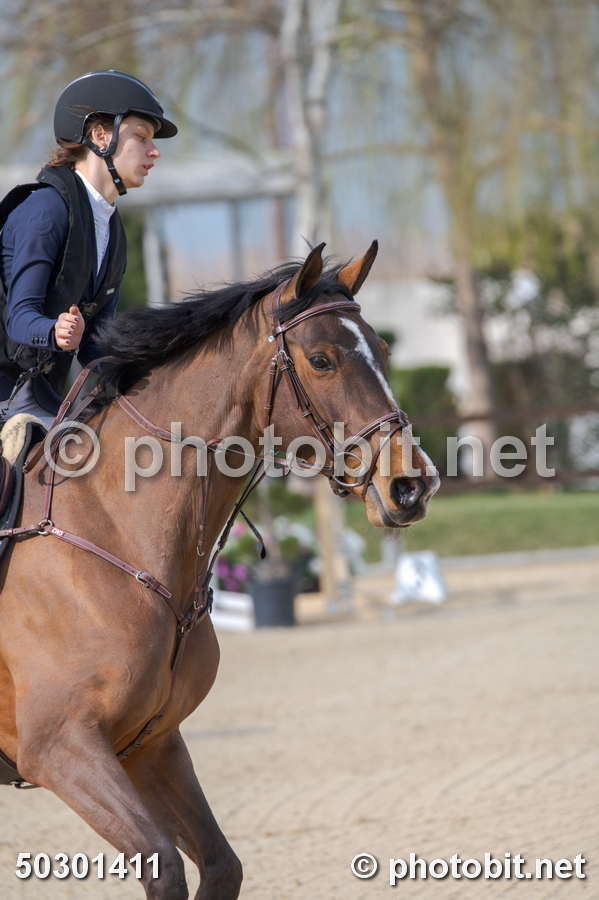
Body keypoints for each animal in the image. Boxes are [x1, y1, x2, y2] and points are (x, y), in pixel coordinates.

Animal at [0, 241, 438, 899]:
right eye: (321, 359)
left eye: (384, 353)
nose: (410, 486)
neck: (115, 537)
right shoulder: (61, 748)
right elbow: (162, 864)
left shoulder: (150, 745)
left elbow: (219, 864)